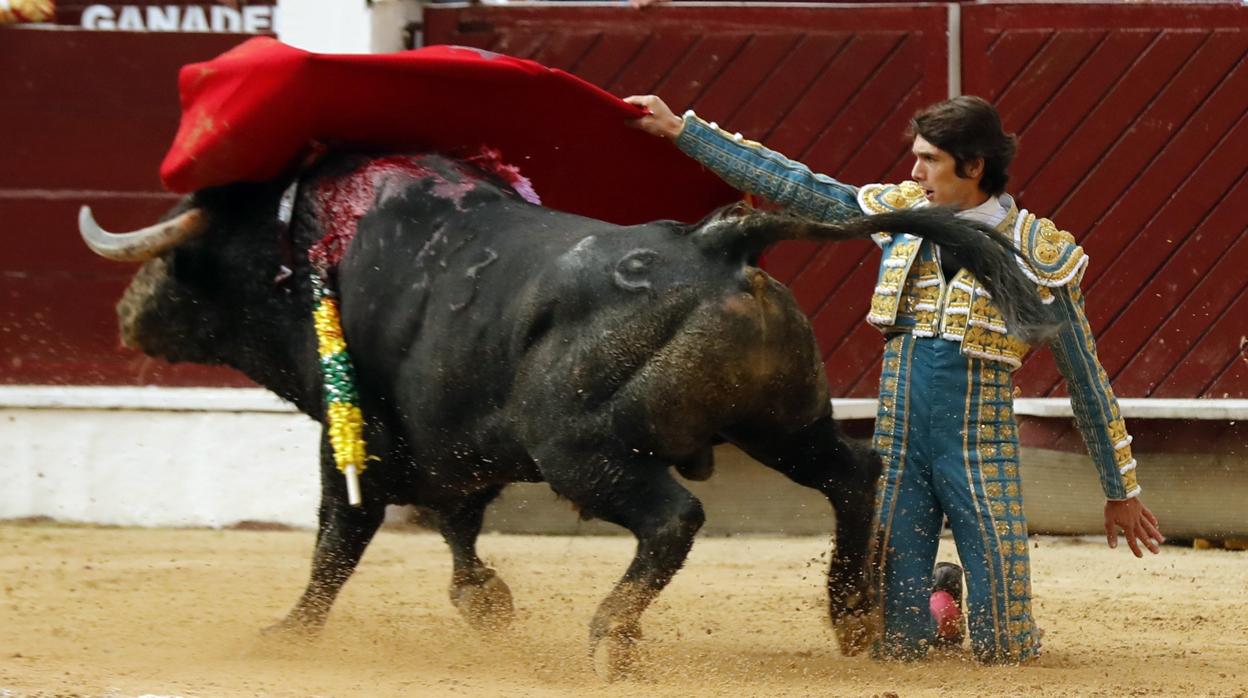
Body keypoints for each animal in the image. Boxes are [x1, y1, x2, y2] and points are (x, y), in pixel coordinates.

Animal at [78, 151, 1053, 679]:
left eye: (186, 255)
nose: (127, 311)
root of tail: (720, 240)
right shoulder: (454, 447)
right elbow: (456, 527)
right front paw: (486, 606)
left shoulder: (361, 439)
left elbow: (338, 534)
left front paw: (289, 635)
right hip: (783, 424)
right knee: (854, 475)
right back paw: (850, 614)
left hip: (583, 450)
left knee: (674, 517)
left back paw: (613, 638)